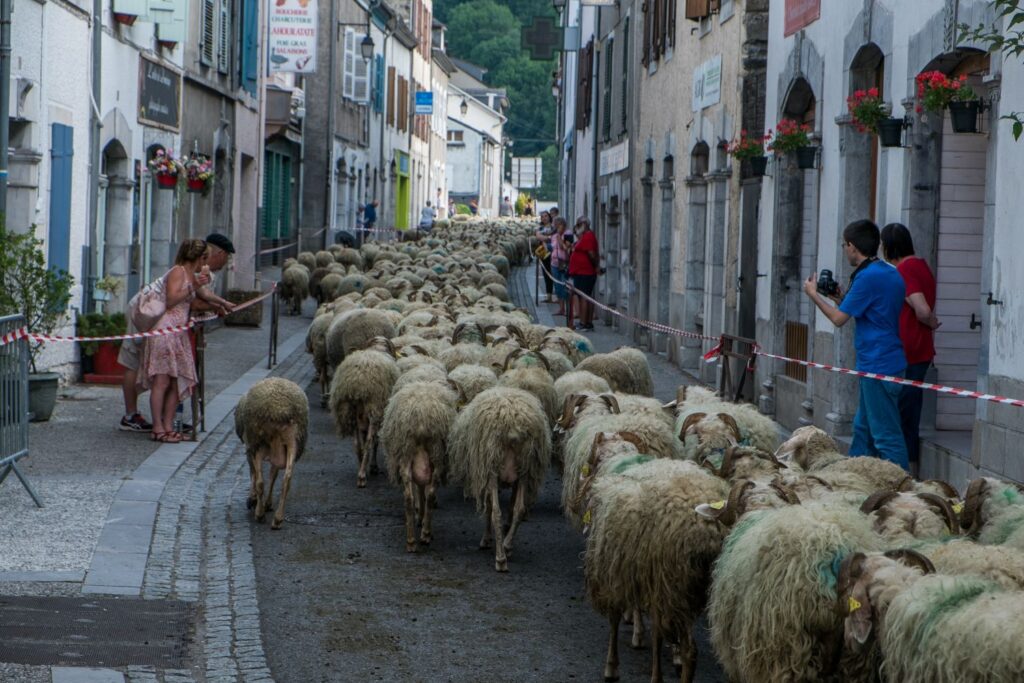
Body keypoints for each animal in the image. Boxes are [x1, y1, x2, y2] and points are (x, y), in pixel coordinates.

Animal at [234, 378, 307, 528]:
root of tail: (279, 409)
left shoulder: (250, 448)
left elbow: (254, 473)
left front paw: (253, 499)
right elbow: (273, 476)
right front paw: (267, 503)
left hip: (257, 442)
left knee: (260, 481)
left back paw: (259, 513)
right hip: (293, 441)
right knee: (287, 479)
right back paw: (278, 519)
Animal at [327, 352, 399, 485]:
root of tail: (358, 381)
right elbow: (375, 441)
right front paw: (373, 466)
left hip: (350, 411)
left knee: (357, 445)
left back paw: (361, 468)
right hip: (373, 408)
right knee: (368, 443)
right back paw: (362, 476)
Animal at [378, 382, 458, 552]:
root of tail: (421, 419)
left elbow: (420, 490)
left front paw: (419, 518)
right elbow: (422, 490)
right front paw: (421, 519)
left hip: (410, 453)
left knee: (411, 496)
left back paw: (414, 539)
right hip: (434, 453)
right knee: (428, 494)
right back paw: (422, 536)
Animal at [450, 389, 552, 573]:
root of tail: (512, 423)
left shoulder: (486, 473)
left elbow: (490, 508)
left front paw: (486, 539)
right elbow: (512, 507)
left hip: (492, 464)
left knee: (496, 513)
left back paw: (500, 559)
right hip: (525, 467)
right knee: (520, 509)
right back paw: (507, 545)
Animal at [585, 454, 729, 683]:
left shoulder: (620, 575)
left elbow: (619, 621)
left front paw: (613, 667)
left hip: (670, 584)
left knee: (688, 648)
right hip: (683, 589)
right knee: (687, 647)